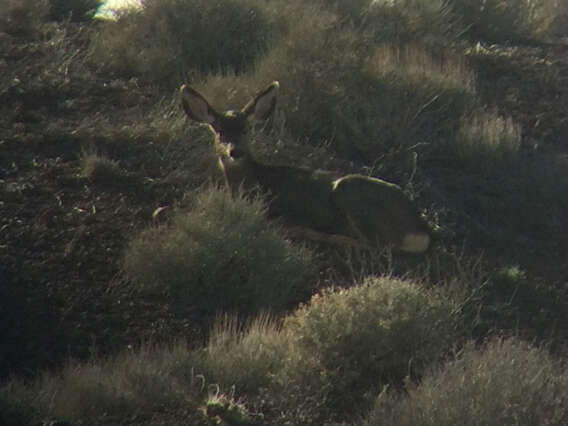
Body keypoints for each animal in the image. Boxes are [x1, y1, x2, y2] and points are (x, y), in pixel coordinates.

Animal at [181, 80, 430, 253]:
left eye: (246, 129)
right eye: (219, 131)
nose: (235, 152)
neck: (254, 184)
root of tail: (421, 229)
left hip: (350, 191)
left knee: (376, 245)